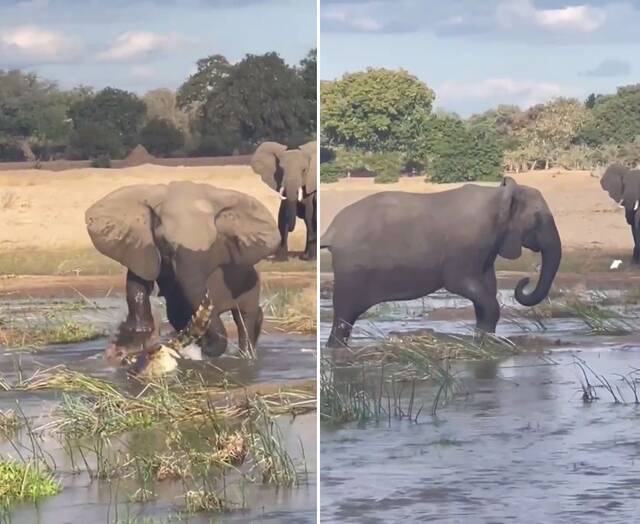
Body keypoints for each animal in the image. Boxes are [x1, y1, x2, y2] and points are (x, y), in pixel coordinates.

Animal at [85, 180, 280, 356]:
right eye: (165, 241)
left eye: (215, 242)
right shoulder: (142, 246)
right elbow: (139, 284)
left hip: (252, 283)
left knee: (244, 318)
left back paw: (247, 356)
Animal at [322, 177, 564, 348]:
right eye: (538, 218)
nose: (525, 280)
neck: (498, 196)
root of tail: (331, 230)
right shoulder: (465, 246)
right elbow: (463, 285)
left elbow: (487, 289)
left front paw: (483, 340)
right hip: (351, 270)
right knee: (344, 316)